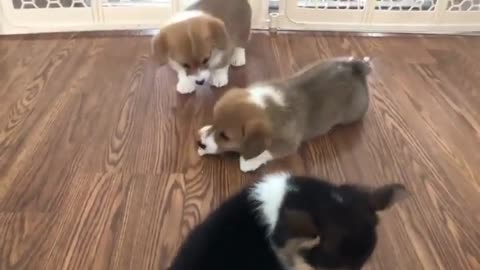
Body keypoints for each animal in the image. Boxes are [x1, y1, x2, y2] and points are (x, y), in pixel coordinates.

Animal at [197, 56, 370, 173]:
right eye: (214, 121)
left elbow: (267, 152)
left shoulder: (288, 145)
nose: (200, 144)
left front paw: (247, 162)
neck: (264, 106)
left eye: (226, 136)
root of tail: (356, 68)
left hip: (353, 114)